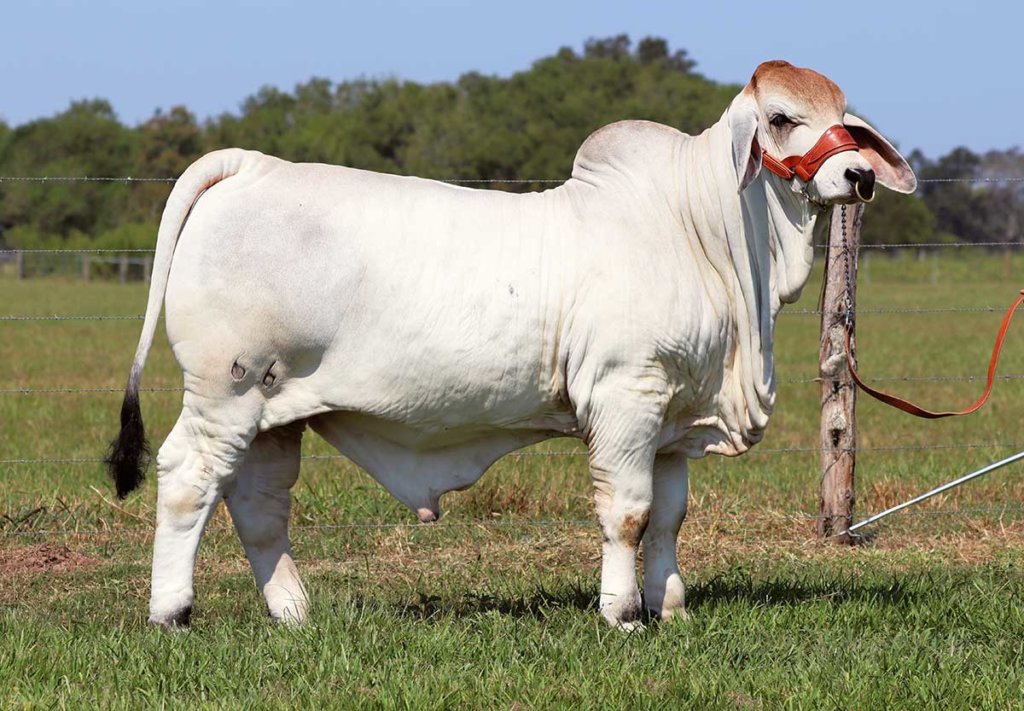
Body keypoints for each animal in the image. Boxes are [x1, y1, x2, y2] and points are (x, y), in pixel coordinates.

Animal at [107, 60, 916, 629]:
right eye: (781, 117)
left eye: (845, 120)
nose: (857, 174)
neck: (706, 232)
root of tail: (249, 165)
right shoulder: (626, 395)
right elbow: (626, 511)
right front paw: (623, 614)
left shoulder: (673, 417)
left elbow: (668, 515)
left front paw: (671, 605)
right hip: (226, 389)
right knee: (187, 479)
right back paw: (172, 612)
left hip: (277, 411)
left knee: (258, 504)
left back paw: (295, 614)